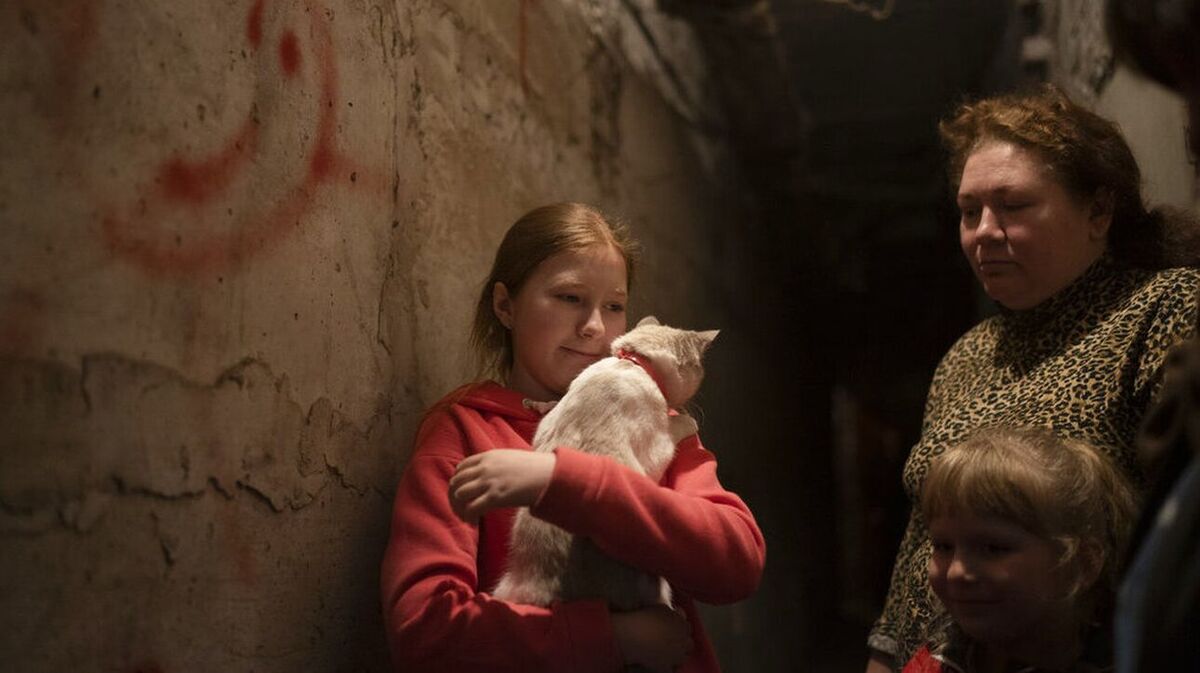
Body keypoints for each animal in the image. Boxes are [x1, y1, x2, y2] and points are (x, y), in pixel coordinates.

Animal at [491, 316, 719, 612]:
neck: (632, 363)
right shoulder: (657, 449)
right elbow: (678, 425)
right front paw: (687, 418)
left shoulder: (550, 420)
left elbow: (550, 406)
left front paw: (537, 403)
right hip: (656, 586)